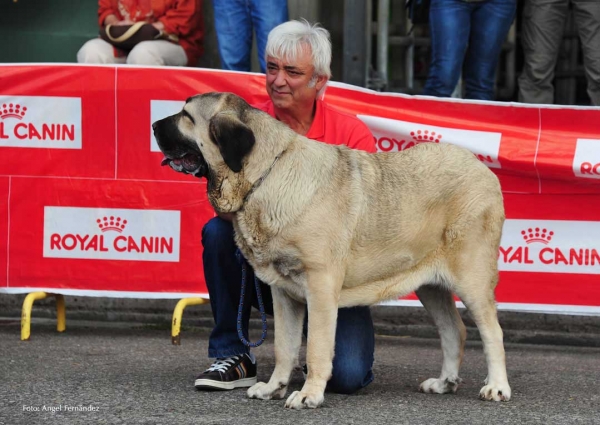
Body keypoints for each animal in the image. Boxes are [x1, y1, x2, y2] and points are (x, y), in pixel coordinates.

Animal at [151, 92, 510, 408]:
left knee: (492, 332)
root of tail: (481, 167)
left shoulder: (320, 287)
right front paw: (274, 388)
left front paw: (309, 394)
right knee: (454, 331)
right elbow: (284, 347)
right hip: (430, 285)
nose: (153, 125)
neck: (266, 175)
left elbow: (316, 348)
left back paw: (496, 387)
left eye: (186, 116)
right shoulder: (284, 294)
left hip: (472, 278)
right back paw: (445, 382)